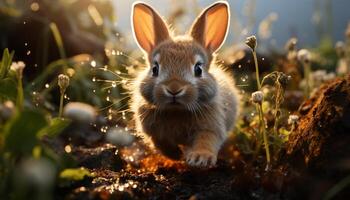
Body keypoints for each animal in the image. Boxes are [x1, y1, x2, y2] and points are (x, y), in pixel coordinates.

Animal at [130, 0, 239, 167]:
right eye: (155, 69)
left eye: (198, 69)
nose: (174, 89)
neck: (177, 111)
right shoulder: (153, 133)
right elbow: (161, 143)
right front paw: (175, 155)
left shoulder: (210, 128)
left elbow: (206, 140)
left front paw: (200, 158)